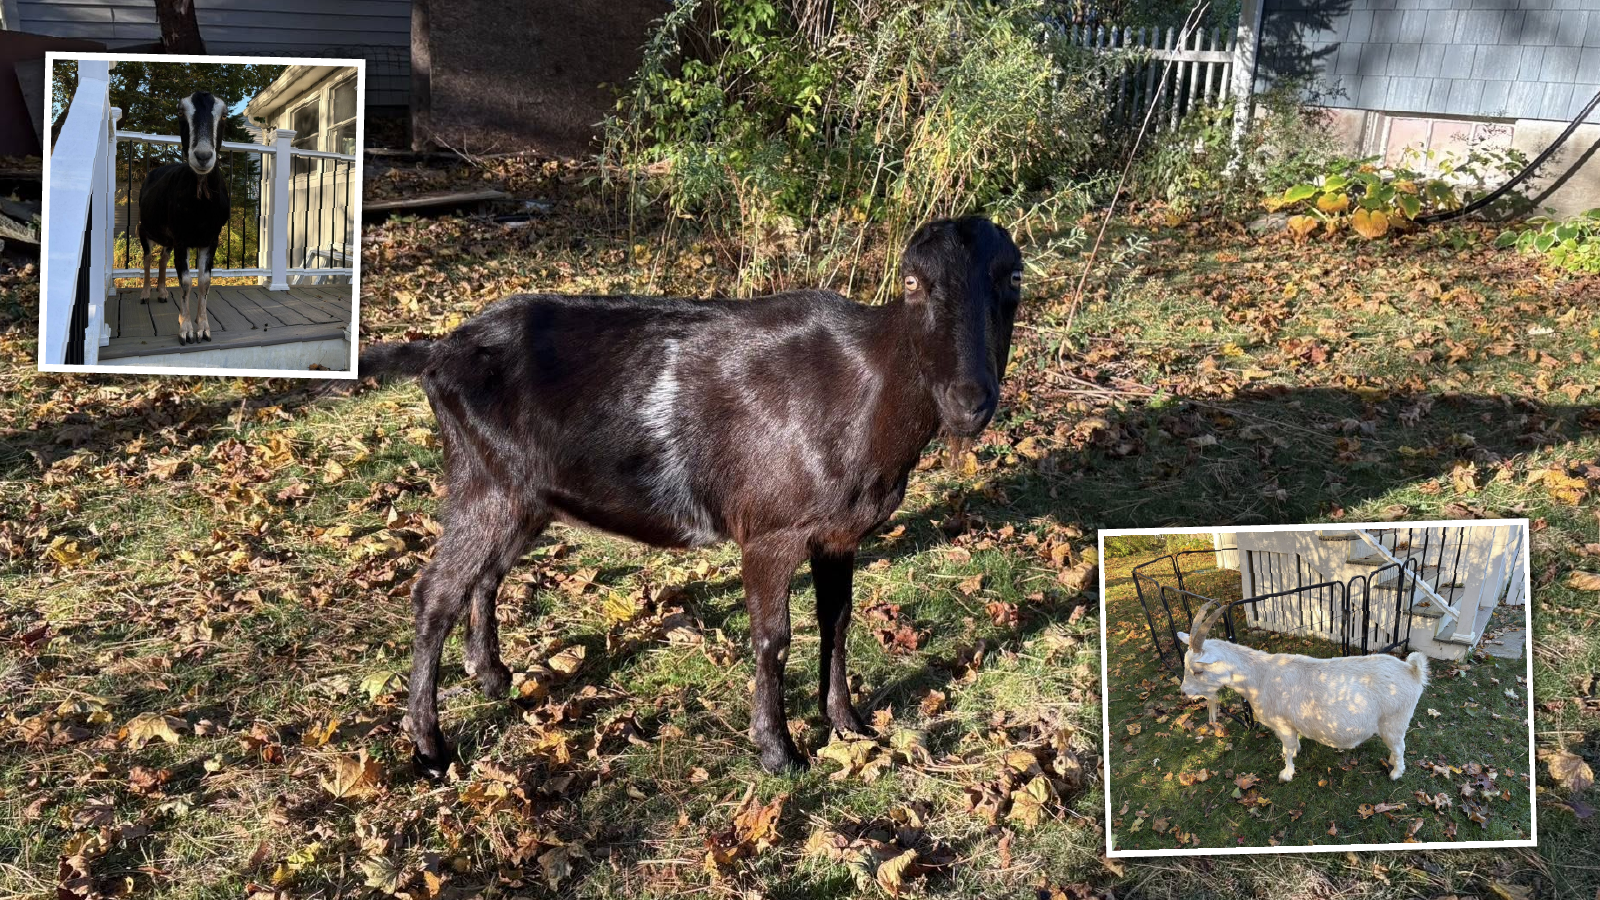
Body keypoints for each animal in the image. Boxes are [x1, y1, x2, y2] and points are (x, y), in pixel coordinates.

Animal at [137, 90, 231, 344]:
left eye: (224, 115)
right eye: (180, 112)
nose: (203, 156)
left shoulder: (211, 238)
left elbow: (204, 281)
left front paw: (203, 328)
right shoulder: (182, 238)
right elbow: (186, 281)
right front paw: (186, 329)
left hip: (168, 239)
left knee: (162, 259)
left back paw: (161, 293)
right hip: (144, 229)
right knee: (148, 258)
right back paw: (146, 294)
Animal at [353, 217, 1023, 778]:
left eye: (1013, 277)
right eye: (912, 282)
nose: (969, 400)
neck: (867, 389)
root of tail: (441, 351)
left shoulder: (838, 535)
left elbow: (836, 620)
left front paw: (849, 724)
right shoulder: (771, 530)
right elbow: (773, 639)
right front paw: (778, 751)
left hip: (522, 494)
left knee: (485, 577)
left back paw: (491, 675)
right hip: (485, 481)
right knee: (434, 594)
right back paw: (430, 747)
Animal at [1177, 600, 1429, 783]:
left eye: (1198, 670)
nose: (1184, 693)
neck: (1261, 676)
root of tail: (1412, 671)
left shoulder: (1283, 724)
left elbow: (1287, 749)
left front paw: (1286, 774)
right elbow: (1291, 745)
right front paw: (1296, 753)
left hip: (1394, 723)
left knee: (1400, 747)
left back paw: (1396, 773)